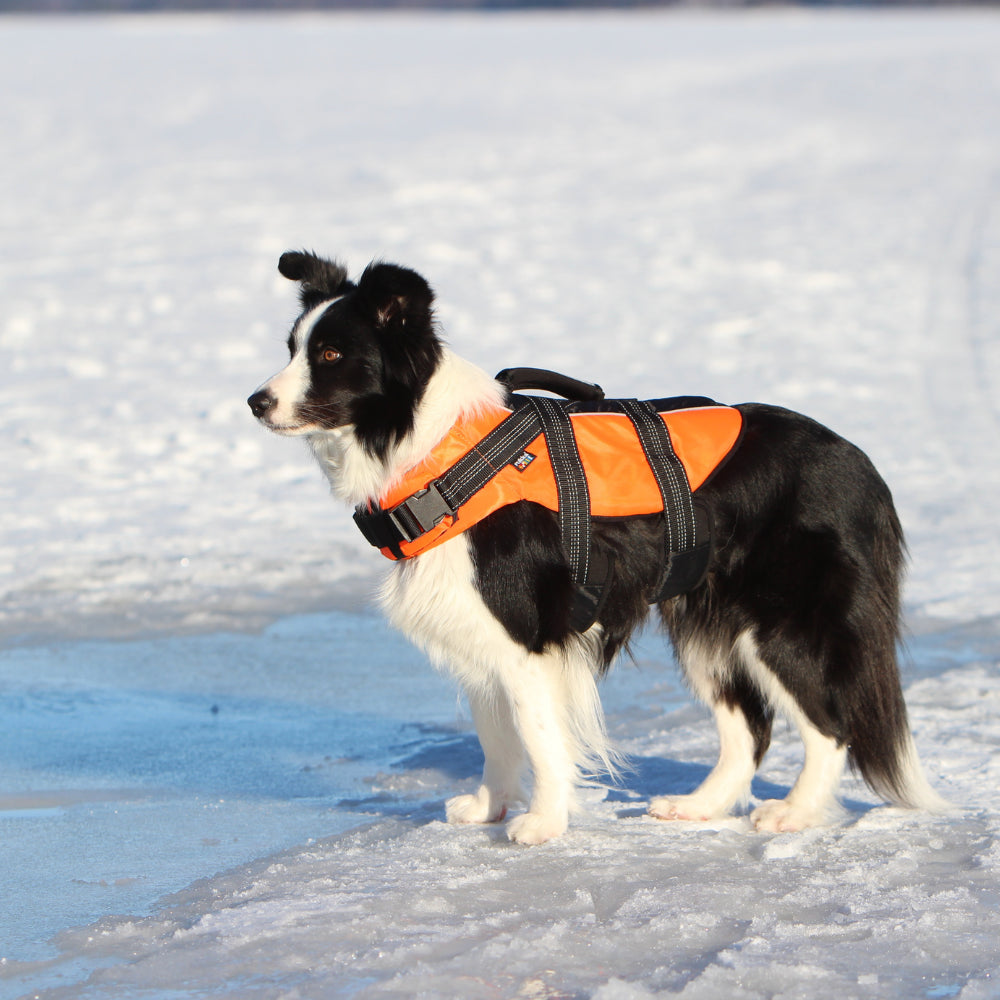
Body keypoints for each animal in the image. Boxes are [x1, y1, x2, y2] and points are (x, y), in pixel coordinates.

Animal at [248, 250, 944, 844]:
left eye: (331, 353)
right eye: (291, 348)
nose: (256, 401)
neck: (438, 450)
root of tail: (858, 464)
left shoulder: (526, 633)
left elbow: (538, 735)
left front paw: (541, 823)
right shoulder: (479, 628)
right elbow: (494, 736)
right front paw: (489, 809)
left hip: (782, 622)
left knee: (830, 723)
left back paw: (794, 813)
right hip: (705, 623)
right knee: (749, 727)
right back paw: (699, 807)